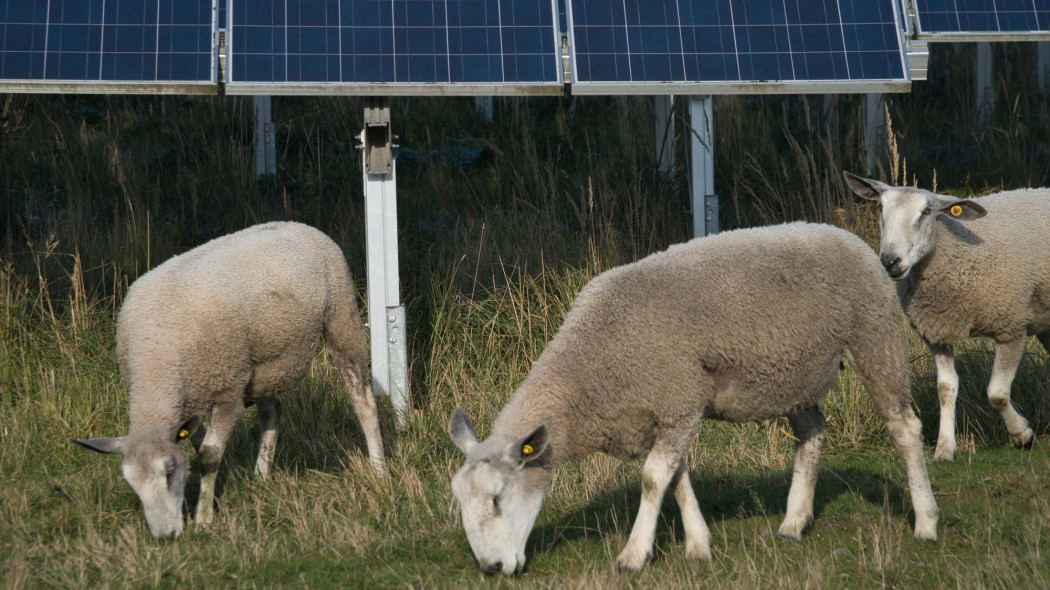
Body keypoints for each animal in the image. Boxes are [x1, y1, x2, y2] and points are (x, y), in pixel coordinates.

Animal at [74, 220, 386, 537]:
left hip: (341, 318)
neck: (157, 360)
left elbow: (209, 454)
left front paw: (203, 519)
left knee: (362, 401)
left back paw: (379, 470)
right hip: (261, 364)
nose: (166, 536)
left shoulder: (228, 388)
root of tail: (298, 225)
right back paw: (260, 476)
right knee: (271, 414)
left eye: (170, 472)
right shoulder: (193, 397)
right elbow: (199, 447)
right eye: (130, 482)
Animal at [447, 221, 940, 575]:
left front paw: (633, 555)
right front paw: (699, 545)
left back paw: (926, 521)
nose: (491, 568)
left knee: (904, 427)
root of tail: (846, 234)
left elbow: (652, 479)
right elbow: (676, 479)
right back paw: (793, 522)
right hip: (794, 374)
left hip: (873, 333)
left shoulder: (679, 399)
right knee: (813, 434)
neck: (592, 369)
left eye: (497, 499)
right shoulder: (667, 410)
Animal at [844, 172, 1050, 461]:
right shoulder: (936, 334)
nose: (890, 261)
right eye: (880, 207)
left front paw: (1022, 435)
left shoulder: (1010, 326)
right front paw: (944, 447)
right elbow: (945, 388)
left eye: (926, 211)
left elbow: (997, 394)